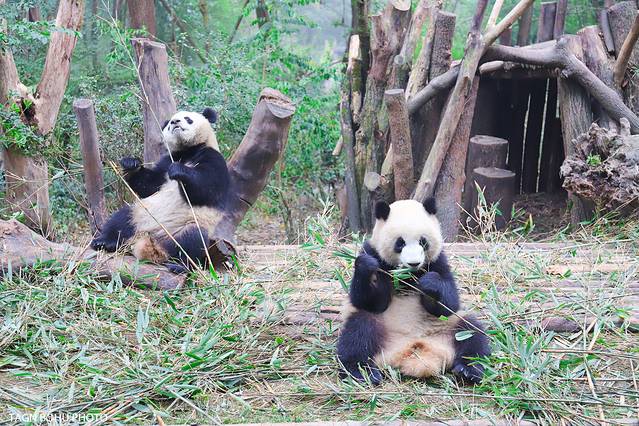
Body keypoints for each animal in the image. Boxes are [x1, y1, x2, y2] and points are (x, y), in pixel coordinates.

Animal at [90, 108, 230, 273]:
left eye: (188, 118)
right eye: (169, 123)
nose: (175, 122)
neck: (187, 151)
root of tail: (152, 245)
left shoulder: (212, 157)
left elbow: (207, 189)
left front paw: (179, 170)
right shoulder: (166, 161)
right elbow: (149, 185)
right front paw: (131, 163)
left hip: (182, 228)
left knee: (192, 239)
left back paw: (179, 265)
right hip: (141, 214)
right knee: (121, 219)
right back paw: (104, 242)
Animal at [337, 198, 490, 385]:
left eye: (423, 241)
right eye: (400, 243)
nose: (414, 263)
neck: (410, 275)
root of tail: (411, 349)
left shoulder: (438, 260)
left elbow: (448, 304)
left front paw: (430, 283)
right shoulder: (374, 253)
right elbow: (369, 301)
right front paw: (368, 267)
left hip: (450, 326)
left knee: (472, 333)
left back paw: (468, 370)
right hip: (380, 326)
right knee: (358, 331)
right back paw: (361, 373)